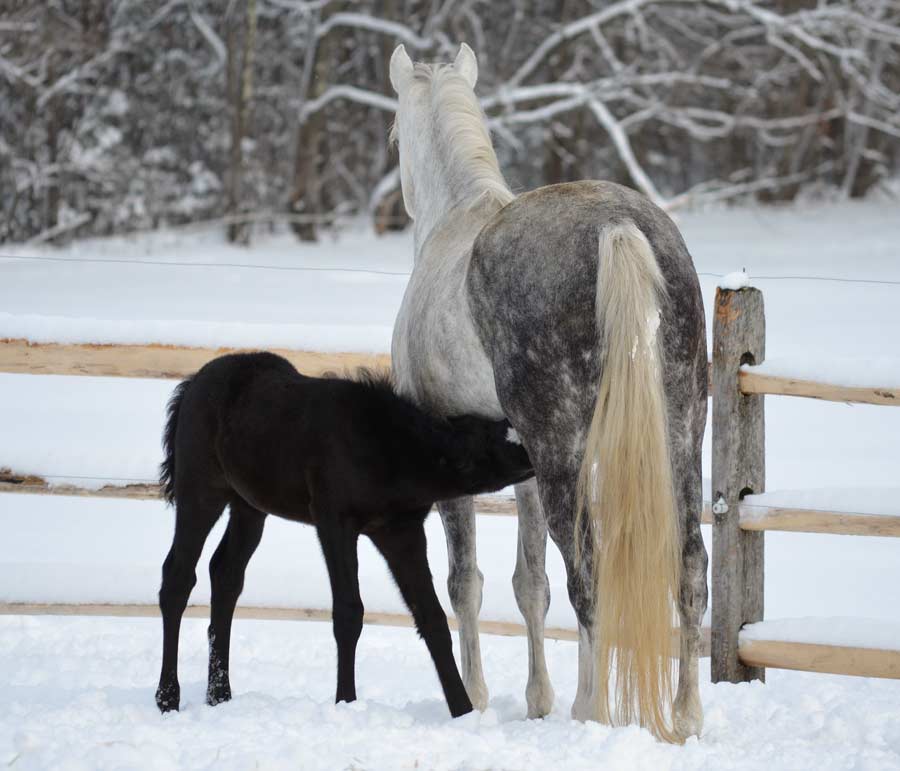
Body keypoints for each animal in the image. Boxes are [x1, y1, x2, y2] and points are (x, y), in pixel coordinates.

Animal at [156, 352, 536, 720]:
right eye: (495, 444)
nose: (534, 447)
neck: (386, 449)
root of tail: (191, 385)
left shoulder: (401, 533)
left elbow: (432, 617)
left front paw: (463, 712)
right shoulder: (335, 524)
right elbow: (348, 613)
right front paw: (346, 702)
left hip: (249, 507)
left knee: (226, 575)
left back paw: (219, 696)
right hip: (201, 494)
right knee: (178, 577)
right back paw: (168, 699)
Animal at [386, 45, 712, 744]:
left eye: (396, 133)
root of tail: (619, 227)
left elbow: (465, 583)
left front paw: (475, 700)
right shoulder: (524, 466)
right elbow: (529, 583)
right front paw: (536, 700)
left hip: (568, 453)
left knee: (588, 571)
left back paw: (593, 710)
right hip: (680, 431)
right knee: (690, 566)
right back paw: (685, 716)